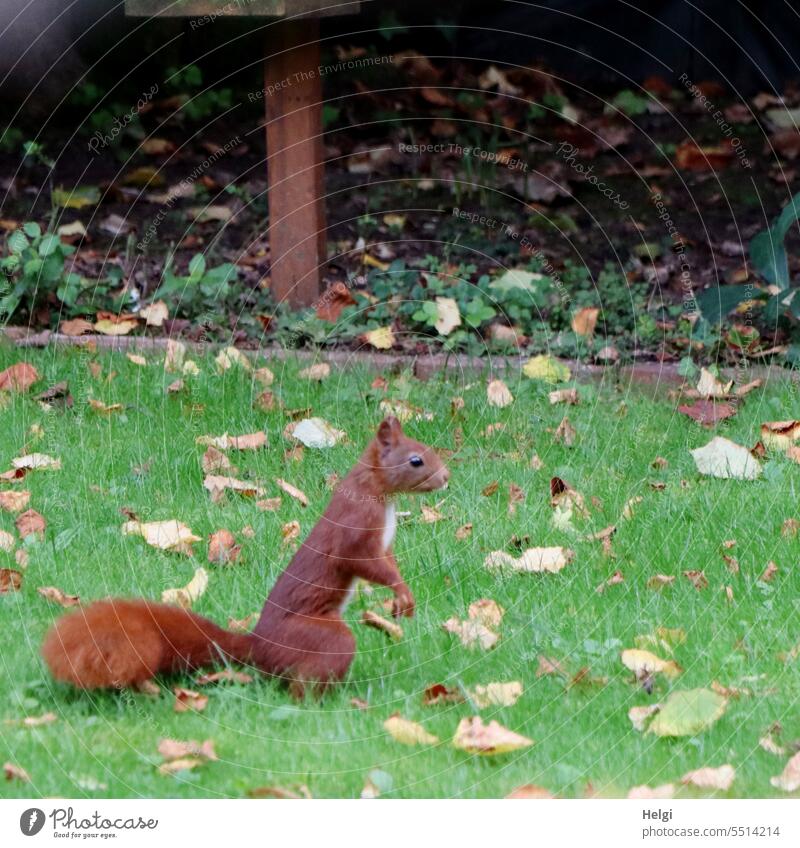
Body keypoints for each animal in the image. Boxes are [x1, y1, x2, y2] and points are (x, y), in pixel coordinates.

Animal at [42, 414, 450, 700]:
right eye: (415, 460)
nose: (446, 477)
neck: (378, 492)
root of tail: (257, 647)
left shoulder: (385, 543)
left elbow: (388, 563)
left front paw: (402, 601)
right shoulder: (356, 529)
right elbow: (364, 564)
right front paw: (401, 593)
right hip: (321, 637)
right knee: (308, 677)